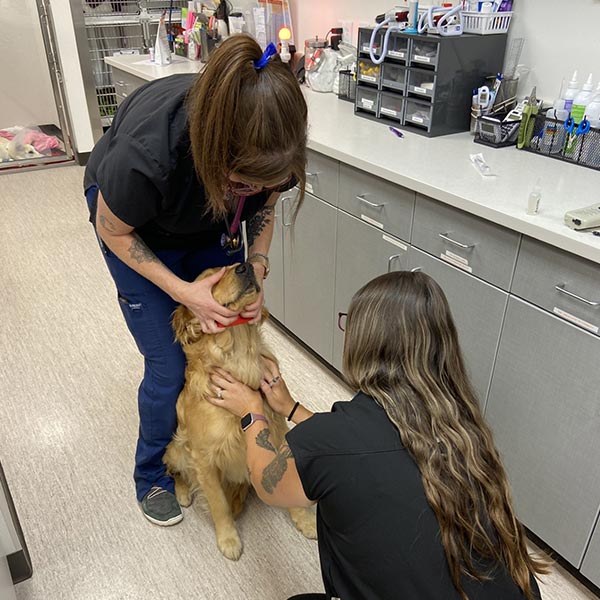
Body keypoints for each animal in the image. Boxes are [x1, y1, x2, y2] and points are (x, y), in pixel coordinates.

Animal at [162, 260, 316, 560]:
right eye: (210, 279)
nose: (246, 266)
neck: (240, 360)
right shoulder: (203, 458)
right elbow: (218, 503)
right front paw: (228, 539)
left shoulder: (276, 434)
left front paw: (304, 519)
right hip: (176, 447)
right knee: (174, 471)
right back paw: (183, 492)